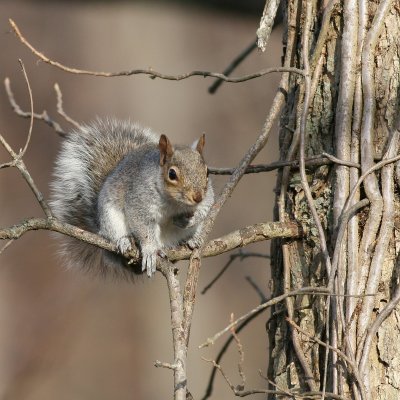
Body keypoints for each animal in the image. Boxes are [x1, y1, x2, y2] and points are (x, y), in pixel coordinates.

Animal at [50, 117, 216, 276]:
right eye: (172, 174)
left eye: (207, 172)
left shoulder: (207, 196)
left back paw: (191, 240)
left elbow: (206, 207)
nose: (197, 197)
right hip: (110, 217)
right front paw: (149, 250)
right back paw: (126, 241)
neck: (175, 203)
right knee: (113, 234)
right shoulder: (139, 201)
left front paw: (188, 220)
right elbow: (142, 226)